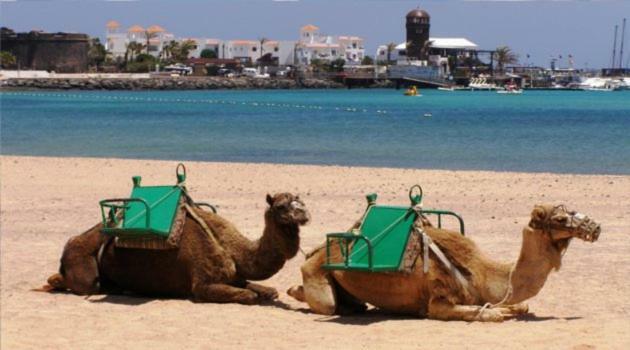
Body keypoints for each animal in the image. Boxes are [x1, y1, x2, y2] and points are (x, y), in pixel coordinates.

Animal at [44, 193, 312, 304]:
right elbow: (249, 296)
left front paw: (268, 292)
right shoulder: (203, 285)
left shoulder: (235, 276)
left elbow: (267, 291)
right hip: (84, 270)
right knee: (80, 283)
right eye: (281, 206)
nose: (304, 214)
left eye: (300, 200)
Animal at [288, 204, 604, 322]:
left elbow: (520, 305)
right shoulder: (438, 299)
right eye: (560, 218)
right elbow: (481, 313)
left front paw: (510, 308)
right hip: (317, 272)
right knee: (329, 304)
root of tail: (315, 252)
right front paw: (496, 313)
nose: (596, 227)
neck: (481, 273)